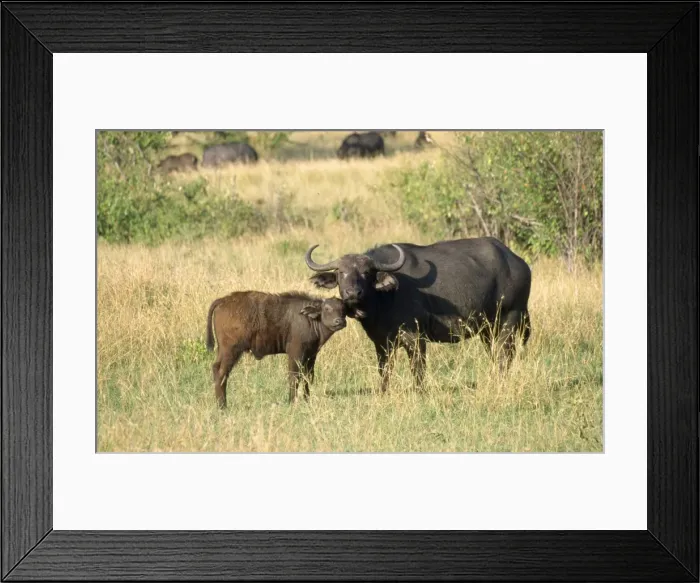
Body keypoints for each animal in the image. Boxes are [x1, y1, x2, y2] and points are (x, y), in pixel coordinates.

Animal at [206, 291, 347, 408]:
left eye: (343, 309)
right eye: (327, 308)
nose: (339, 322)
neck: (309, 319)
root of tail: (223, 300)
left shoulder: (311, 355)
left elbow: (308, 377)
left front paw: (307, 400)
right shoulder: (295, 353)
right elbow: (294, 376)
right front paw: (292, 402)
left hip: (223, 351)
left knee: (215, 368)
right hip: (231, 351)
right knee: (221, 372)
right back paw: (222, 406)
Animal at [304, 237, 532, 392]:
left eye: (366, 273)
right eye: (341, 273)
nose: (352, 293)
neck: (384, 299)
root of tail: (519, 263)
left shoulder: (415, 337)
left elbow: (417, 367)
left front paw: (419, 391)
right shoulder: (381, 342)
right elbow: (384, 369)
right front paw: (383, 391)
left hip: (509, 320)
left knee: (505, 355)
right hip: (487, 329)